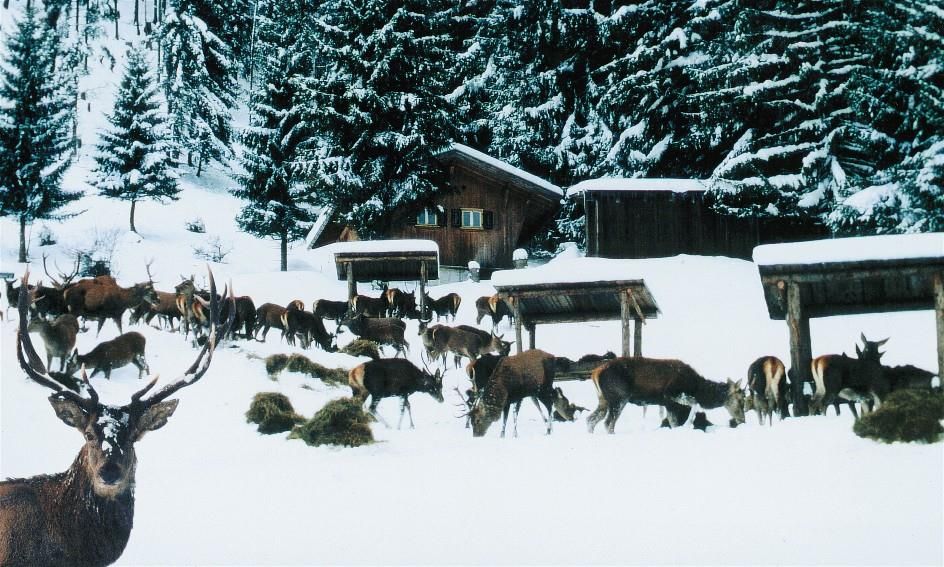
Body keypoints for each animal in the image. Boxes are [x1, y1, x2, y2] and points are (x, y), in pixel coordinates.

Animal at [588, 360, 748, 434]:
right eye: (741, 400)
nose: (742, 420)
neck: (697, 388)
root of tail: (595, 373)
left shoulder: (668, 404)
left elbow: (673, 422)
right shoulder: (670, 393)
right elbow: (695, 404)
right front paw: (688, 424)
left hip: (603, 399)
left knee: (591, 419)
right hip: (619, 397)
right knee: (608, 422)